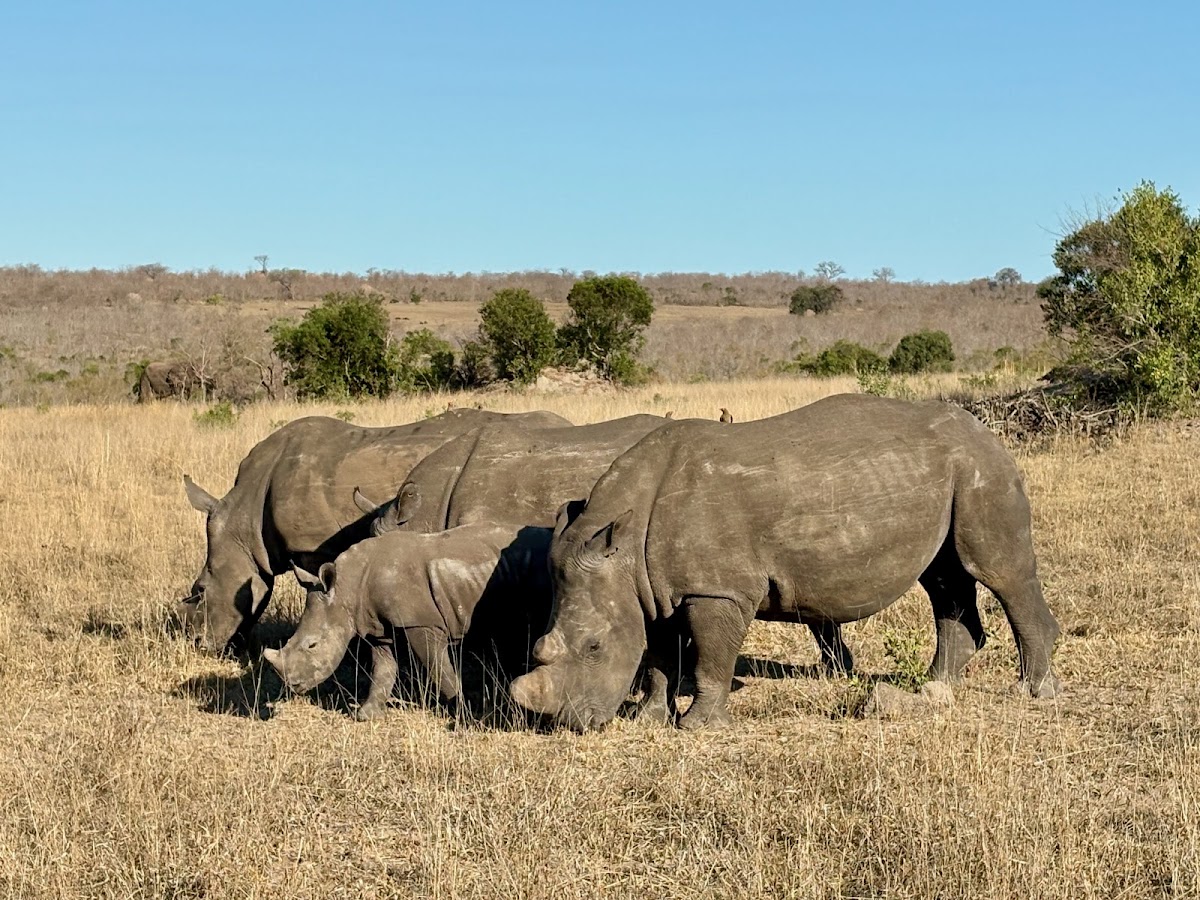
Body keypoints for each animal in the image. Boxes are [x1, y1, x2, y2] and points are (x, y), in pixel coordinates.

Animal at [262, 523, 552, 720]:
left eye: (312, 645)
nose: (293, 686)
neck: (347, 588)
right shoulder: (377, 627)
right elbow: (383, 669)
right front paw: (366, 715)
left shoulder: (420, 623)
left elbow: (438, 668)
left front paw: (462, 712)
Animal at [511, 394, 1063, 731]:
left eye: (594, 647)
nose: (574, 723)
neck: (623, 546)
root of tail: (983, 428)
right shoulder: (655, 587)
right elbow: (661, 655)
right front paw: (649, 719)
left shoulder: (717, 588)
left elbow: (709, 656)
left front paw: (697, 726)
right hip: (948, 470)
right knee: (944, 578)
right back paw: (935, 688)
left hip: (981, 466)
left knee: (996, 572)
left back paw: (1034, 692)